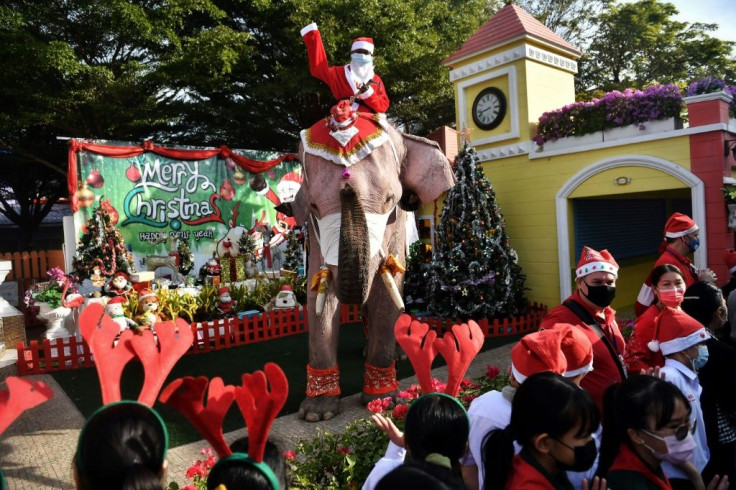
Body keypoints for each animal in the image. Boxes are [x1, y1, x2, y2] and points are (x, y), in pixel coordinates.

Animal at [292, 118, 454, 422]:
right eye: (314, 206)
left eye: (390, 200)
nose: (346, 186)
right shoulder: (315, 234)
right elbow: (319, 297)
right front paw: (318, 414)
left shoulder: (396, 225)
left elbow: (385, 293)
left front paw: (383, 401)